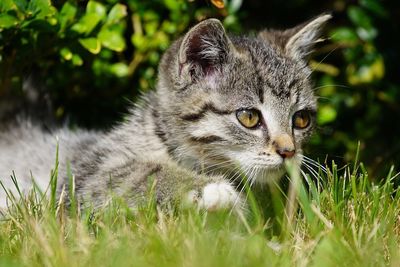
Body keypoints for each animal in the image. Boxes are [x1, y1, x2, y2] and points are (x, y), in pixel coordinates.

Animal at [0, 14, 332, 211]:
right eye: (249, 117)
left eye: (301, 119)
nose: (289, 151)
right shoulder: (84, 174)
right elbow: (140, 173)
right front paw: (211, 189)